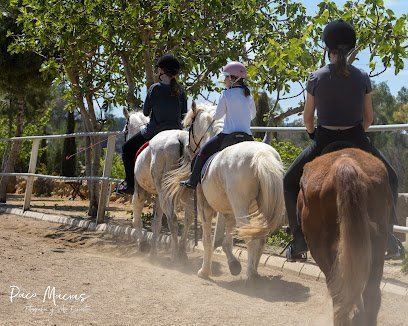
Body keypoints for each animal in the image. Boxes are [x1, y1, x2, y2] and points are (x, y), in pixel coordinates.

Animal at [126, 102, 223, 260]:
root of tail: (179, 140)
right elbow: (157, 221)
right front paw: (153, 251)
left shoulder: (140, 191)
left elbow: (138, 219)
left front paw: (144, 246)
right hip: (184, 191)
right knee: (188, 218)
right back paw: (181, 251)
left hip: (162, 191)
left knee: (172, 218)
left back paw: (175, 254)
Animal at [164, 130, 286, 280]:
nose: (188, 148)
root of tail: (261, 155)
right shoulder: (228, 211)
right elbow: (225, 239)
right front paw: (233, 264)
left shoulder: (204, 207)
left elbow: (207, 240)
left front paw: (204, 271)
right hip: (263, 207)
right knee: (261, 237)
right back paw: (254, 271)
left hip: (241, 207)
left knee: (251, 238)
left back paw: (251, 274)